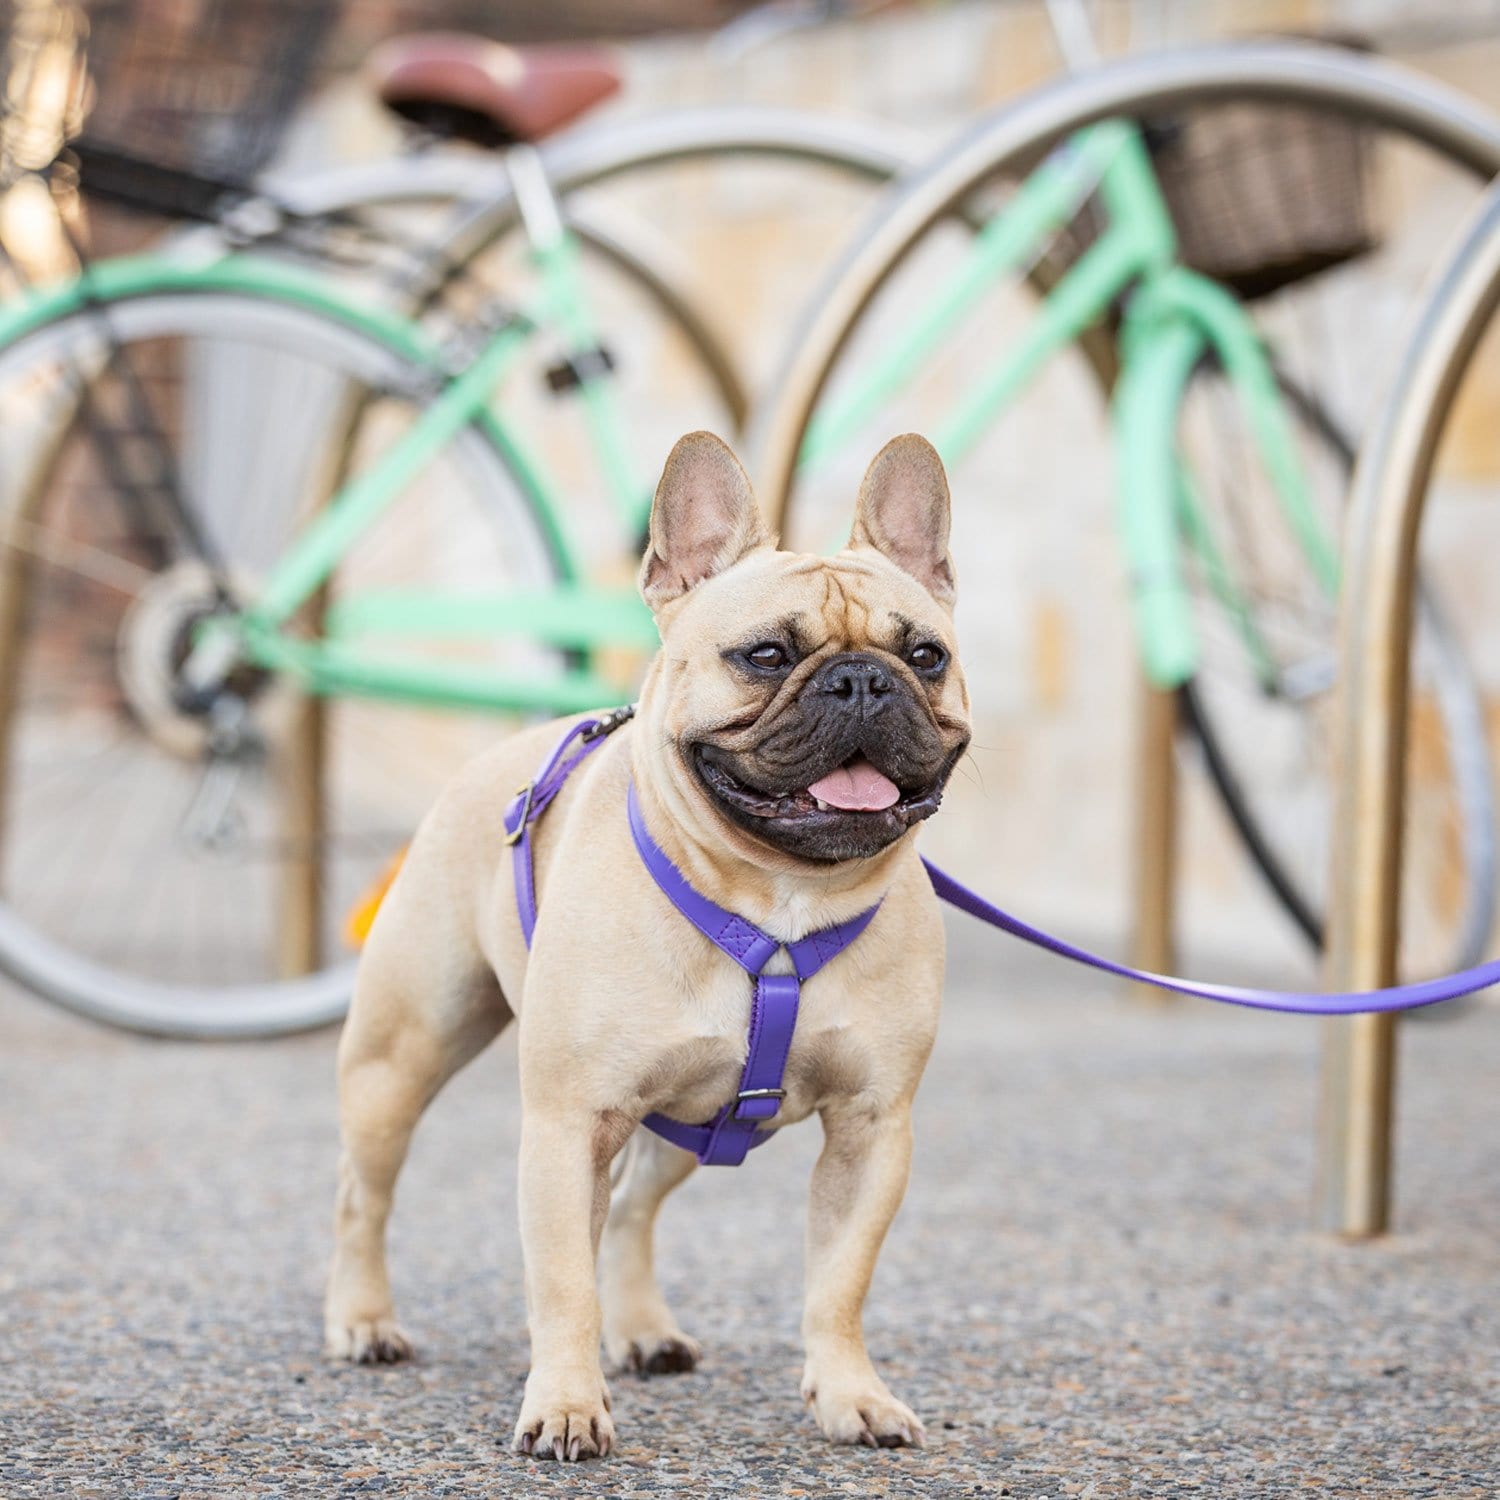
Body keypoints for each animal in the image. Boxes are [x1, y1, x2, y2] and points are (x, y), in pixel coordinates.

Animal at [324, 429, 972, 1458]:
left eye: (925, 654)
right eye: (764, 654)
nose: (864, 680)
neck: (779, 901)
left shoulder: (872, 1131)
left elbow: (840, 1280)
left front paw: (851, 1394)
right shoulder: (567, 1124)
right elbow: (560, 1280)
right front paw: (564, 1404)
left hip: (690, 1114)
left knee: (630, 1207)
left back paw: (639, 1331)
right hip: (401, 1057)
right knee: (366, 1193)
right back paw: (363, 1320)